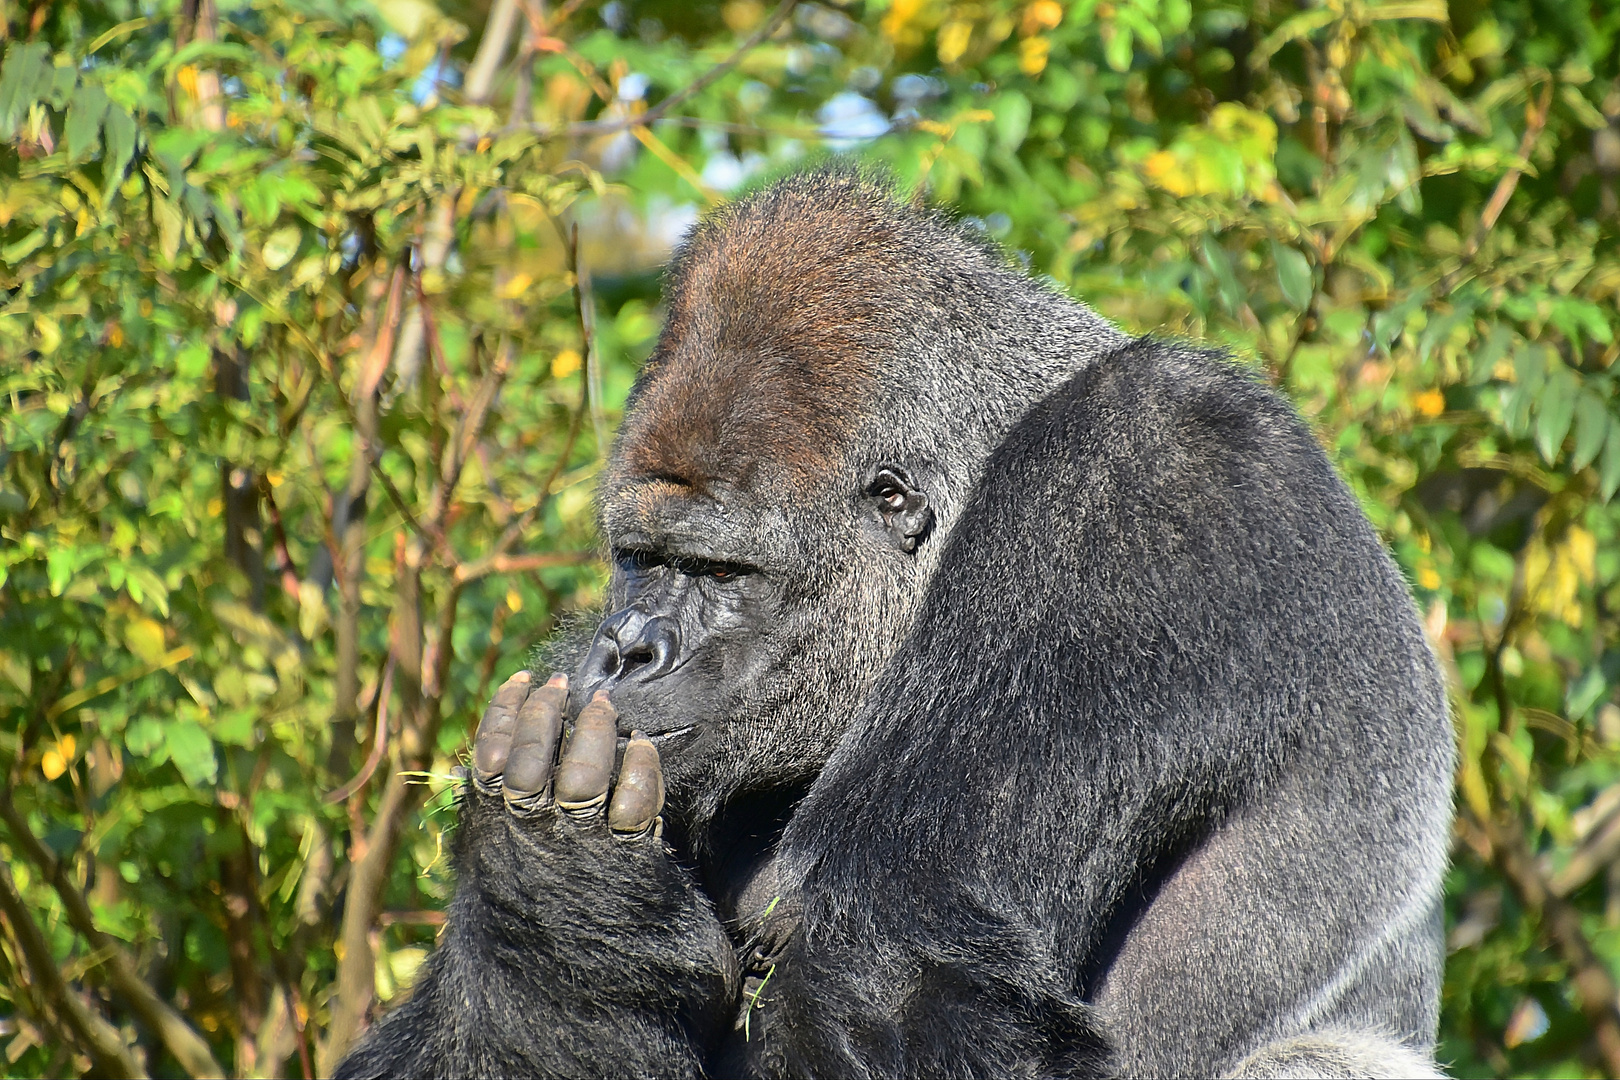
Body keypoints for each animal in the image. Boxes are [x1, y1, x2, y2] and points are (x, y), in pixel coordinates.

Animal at [338, 169, 1458, 1080]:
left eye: (719, 569)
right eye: (642, 558)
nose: (627, 650)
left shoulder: (1138, 482)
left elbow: (892, 988)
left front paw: (565, 889)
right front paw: (551, 912)